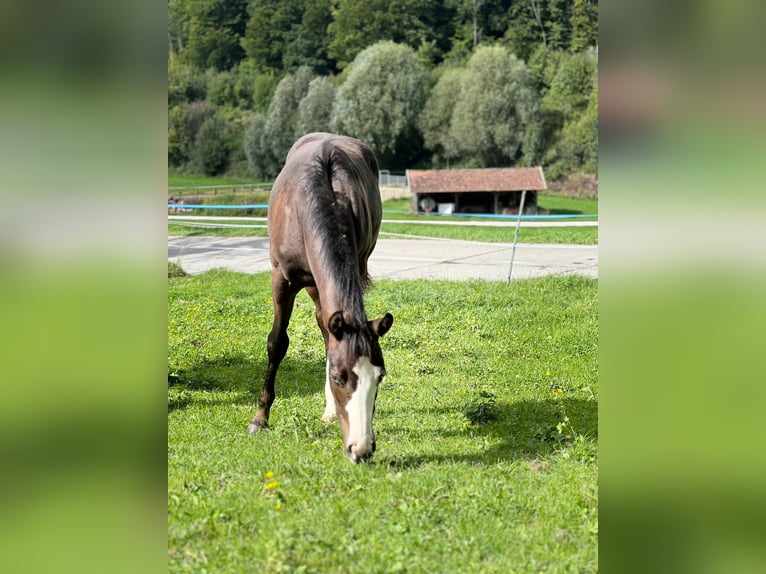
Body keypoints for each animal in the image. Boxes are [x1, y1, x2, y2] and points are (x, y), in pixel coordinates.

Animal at [248, 132, 394, 463]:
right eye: (339, 378)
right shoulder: (282, 280)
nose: (361, 449)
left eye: (379, 377)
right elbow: (277, 343)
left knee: (327, 331)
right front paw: (260, 417)